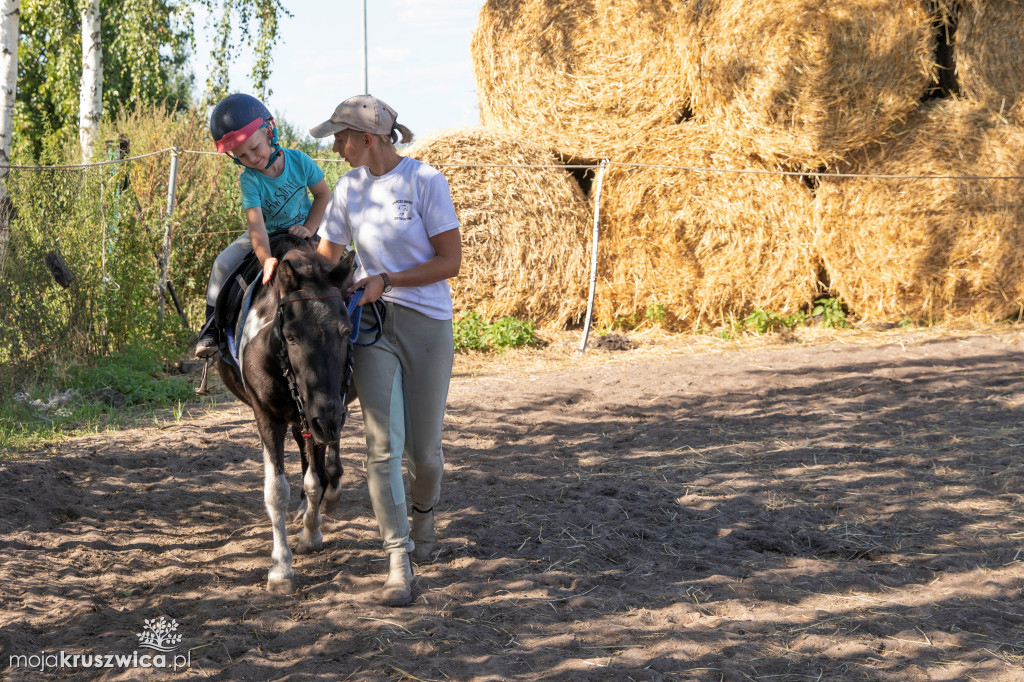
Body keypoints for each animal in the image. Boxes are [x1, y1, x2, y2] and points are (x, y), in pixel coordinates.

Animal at [212, 236, 360, 593]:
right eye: (291, 336)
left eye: (346, 330)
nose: (329, 421)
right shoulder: (269, 418)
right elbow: (277, 492)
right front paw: (281, 568)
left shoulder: (320, 414)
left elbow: (314, 480)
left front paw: (311, 534)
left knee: (324, 464)